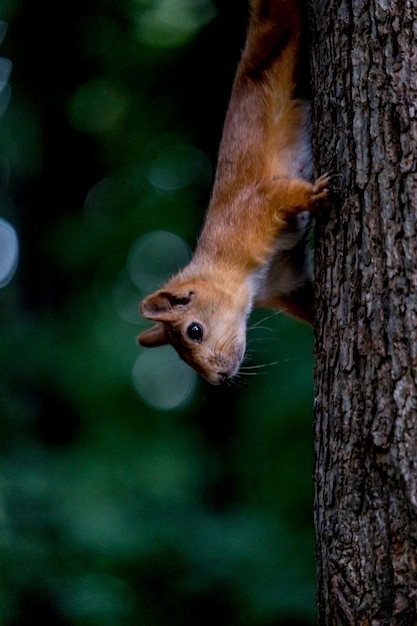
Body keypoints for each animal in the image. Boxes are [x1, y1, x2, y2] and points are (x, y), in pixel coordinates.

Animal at [138, 0, 330, 382]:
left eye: (194, 330)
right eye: (182, 357)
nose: (218, 378)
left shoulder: (255, 206)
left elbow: (282, 193)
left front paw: (316, 196)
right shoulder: (287, 283)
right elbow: (307, 301)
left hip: (276, 35)